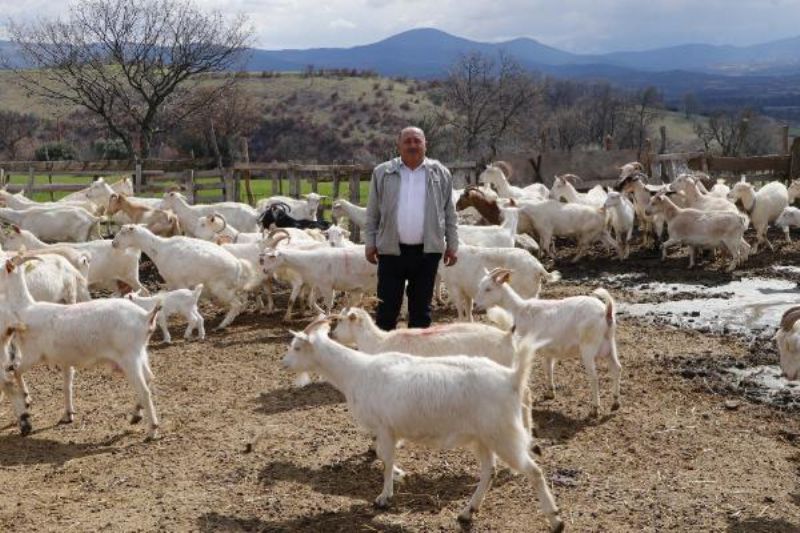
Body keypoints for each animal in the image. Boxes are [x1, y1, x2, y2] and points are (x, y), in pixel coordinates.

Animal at [284, 316, 564, 528]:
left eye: (297, 347)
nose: (284, 363)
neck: (356, 371)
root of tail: (512, 378)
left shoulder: (385, 427)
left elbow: (385, 459)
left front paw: (384, 496)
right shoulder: (389, 430)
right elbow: (385, 456)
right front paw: (399, 475)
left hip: (503, 434)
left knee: (534, 472)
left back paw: (555, 520)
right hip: (483, 437)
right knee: (489, 472)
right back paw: (467, 512)